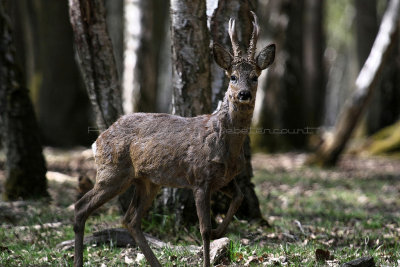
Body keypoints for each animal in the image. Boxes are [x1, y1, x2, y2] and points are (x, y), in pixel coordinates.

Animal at [73, 11, 276, 267]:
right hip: (113, 172)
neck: (226, 146)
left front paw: (220, 231)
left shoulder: (224, 179)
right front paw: (209, 250)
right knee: (81, 207)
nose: (244, 94)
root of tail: (98, 140)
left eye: (255, 77)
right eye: (233, 76)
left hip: (147, 181)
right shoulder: (200, 178)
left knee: (130, 219)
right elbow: (203, 230)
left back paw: (155, 263)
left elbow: (238, 198)